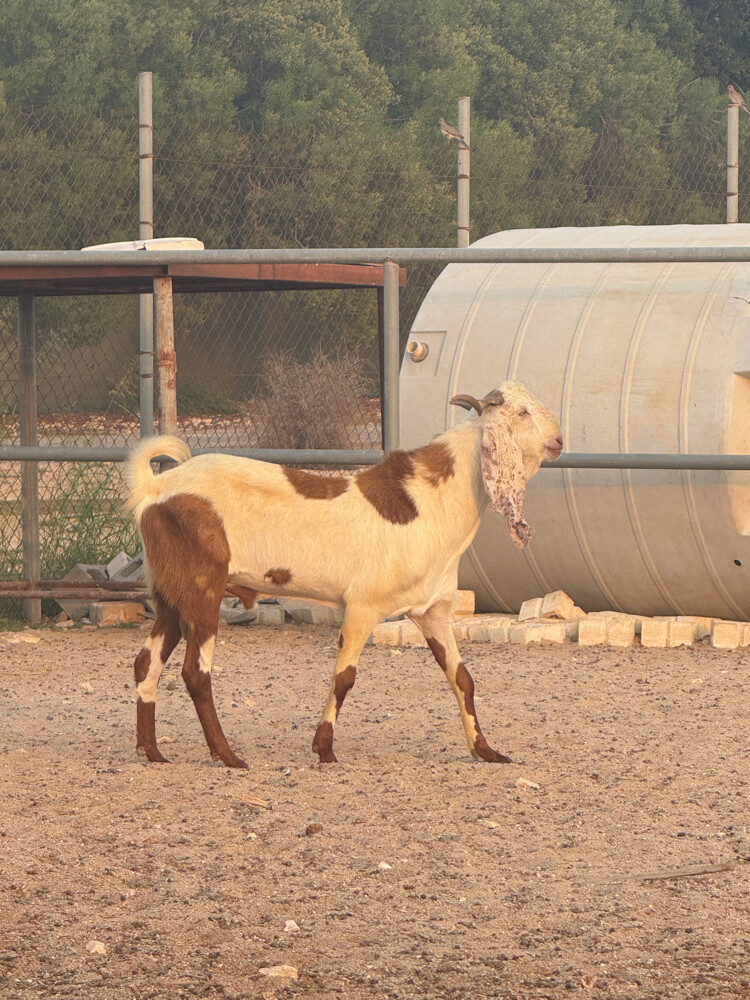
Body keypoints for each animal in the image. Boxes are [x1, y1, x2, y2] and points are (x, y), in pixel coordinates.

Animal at [125, 380, 563, 768]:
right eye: (522, 413)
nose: (559, 440)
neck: (431, 501)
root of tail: (156, 487)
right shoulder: (363, 606)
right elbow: (344, 678)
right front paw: (324, 749)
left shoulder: (432, 612)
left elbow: (462, 678)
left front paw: (485, 751)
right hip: (203, 588)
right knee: (195, 673)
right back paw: (227, 756)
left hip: (170, 594)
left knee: (146, 663)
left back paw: (152, 751)